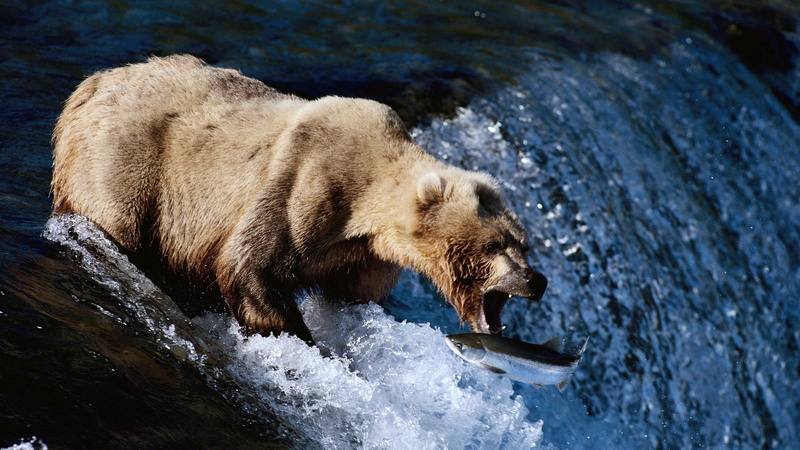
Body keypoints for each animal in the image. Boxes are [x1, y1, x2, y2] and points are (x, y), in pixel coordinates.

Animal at [51, 55, 547, 345]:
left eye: (524, 243)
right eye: (495, 244)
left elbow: (352, 298)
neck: (367, 210)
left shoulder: (364, 256)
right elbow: (250, 264)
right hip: (126, 158)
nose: (536, 280)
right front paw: (304, 339)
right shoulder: (307, 184)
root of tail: (92, 82)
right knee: (119, 222)